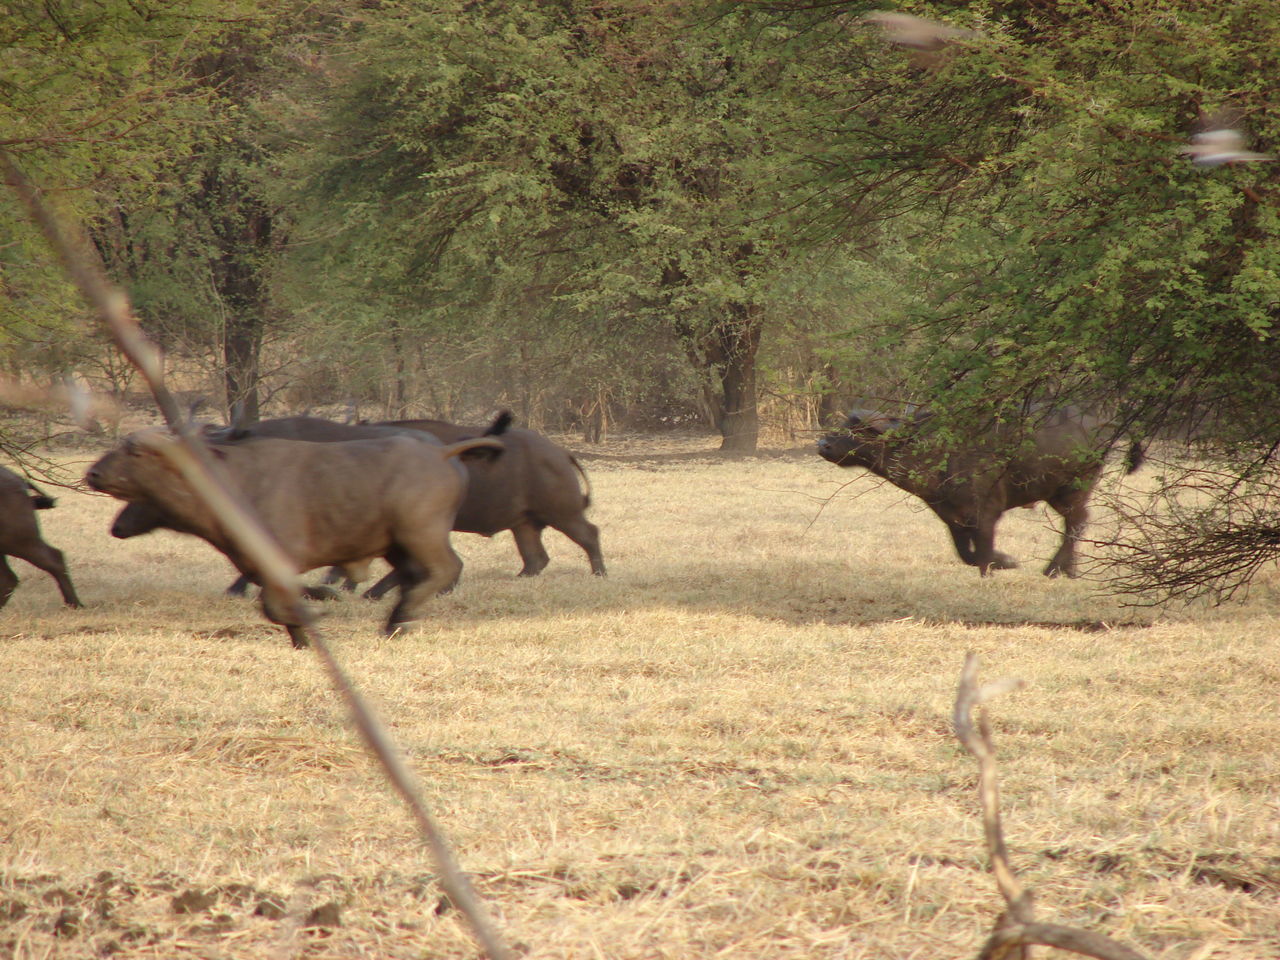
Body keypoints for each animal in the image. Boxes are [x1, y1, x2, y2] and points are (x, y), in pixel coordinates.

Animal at [814, 407, 1146, 578]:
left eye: (859, 431)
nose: (823, 444)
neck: (937, 451)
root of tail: (1102, 421)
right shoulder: (952, 517)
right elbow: (966, 554)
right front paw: (1006, 560)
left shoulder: (986, 512)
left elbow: (983, 552)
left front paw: (1000, 564)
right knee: (1074, 523)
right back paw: (1068, 569)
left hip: (1073, 488)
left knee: (1077, 522)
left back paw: (1054, 568)